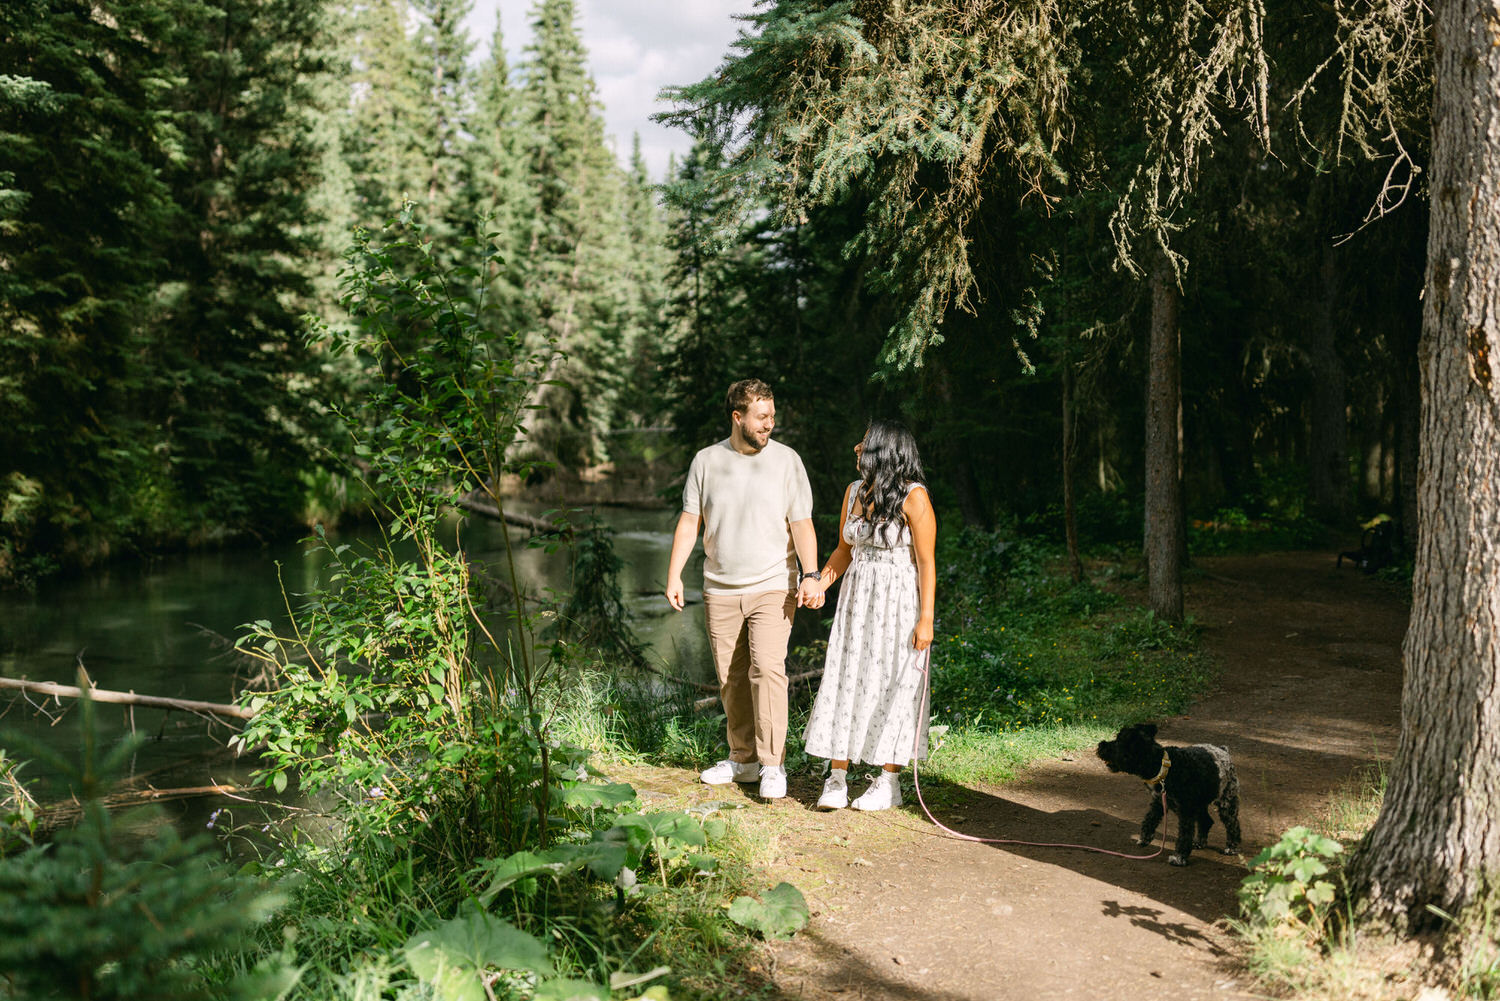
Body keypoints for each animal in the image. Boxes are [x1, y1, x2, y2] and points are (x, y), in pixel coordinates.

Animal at [1092, 723, 1242, 864]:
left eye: (1118, 742)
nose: (1100, 745)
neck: (1164, 767)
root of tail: (1223, 750)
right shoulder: (1159, 802)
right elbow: (1149, 819)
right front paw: (1144, 839)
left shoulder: (1185, 812)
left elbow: (1184, 834)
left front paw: (1179, 857)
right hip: (1199, 804)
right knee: (1207, 821)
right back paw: (1199, 842)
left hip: (1226, 802)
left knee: (1233, 825)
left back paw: (1232, 847)